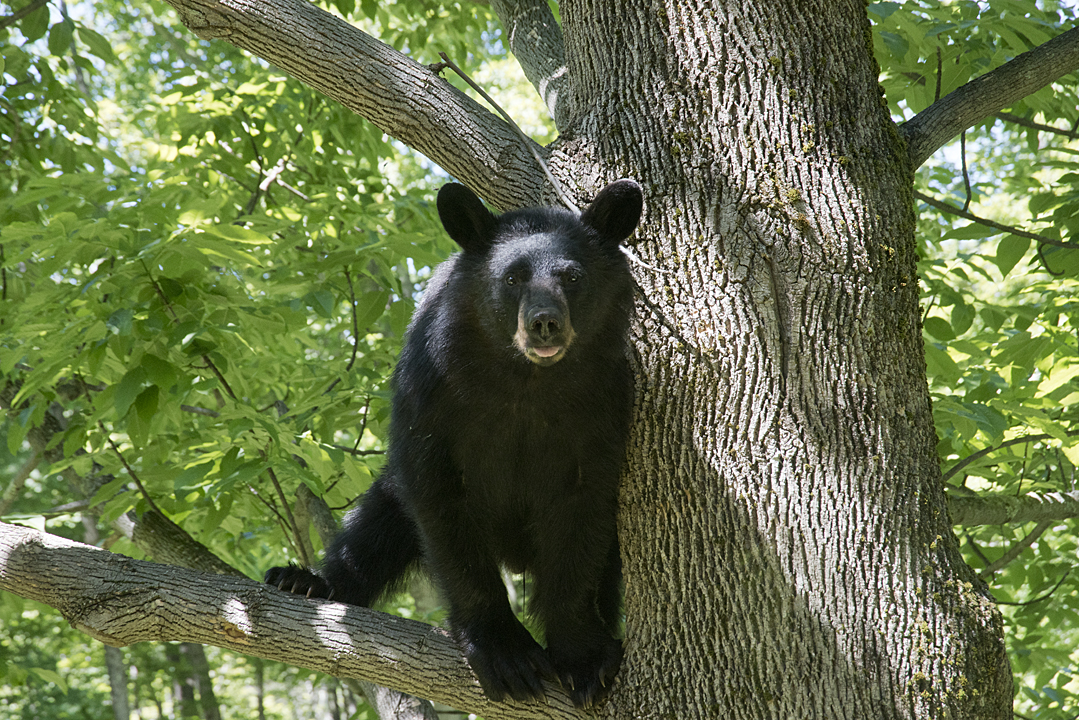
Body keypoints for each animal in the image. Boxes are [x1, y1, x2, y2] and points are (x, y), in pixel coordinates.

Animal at [265, 178, 643, 708]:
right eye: (512, 278)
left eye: (572, 276)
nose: (544, 322)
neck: (525, 381)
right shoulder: (432, 395)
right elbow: (441, 507)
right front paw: (506, 653)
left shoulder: (602, 409)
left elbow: (582, 518)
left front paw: (584, 657)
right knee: (374, 526)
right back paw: (305, 582)